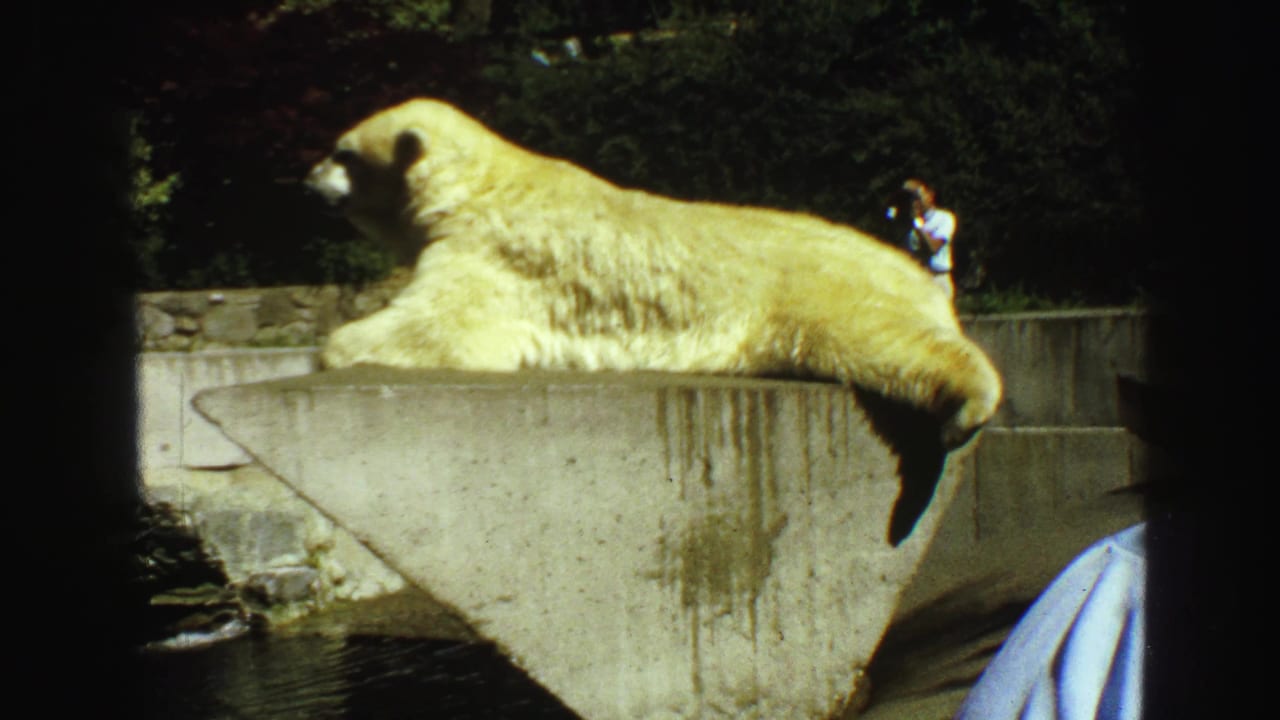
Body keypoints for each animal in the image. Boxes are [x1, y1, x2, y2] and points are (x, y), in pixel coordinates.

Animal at [306, 99, 1002, 449]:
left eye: (342, 151)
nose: (308, 181)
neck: (478, 184)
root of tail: (913, 272)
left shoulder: (493, 253)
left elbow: (442, 327)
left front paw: (334, 347)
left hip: (822, 292)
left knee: (885, 344)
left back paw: (967, 403)